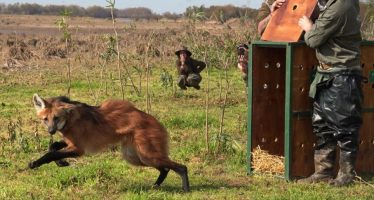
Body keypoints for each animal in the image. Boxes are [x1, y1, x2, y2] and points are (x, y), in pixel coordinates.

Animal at [30, 94, 190, 192]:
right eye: (45, 119)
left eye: (56, 118)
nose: (51, 131)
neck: (70, 120)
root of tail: (155, 121)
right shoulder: (70, 142)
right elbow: (53, 147)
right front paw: (61, 162)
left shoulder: (78, 148)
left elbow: (51, 154)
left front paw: (34, 163)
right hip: (135, 157)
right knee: (165, 168)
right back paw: (155, 185)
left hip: (146, 154)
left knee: (181, 167)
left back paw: (186, 188)